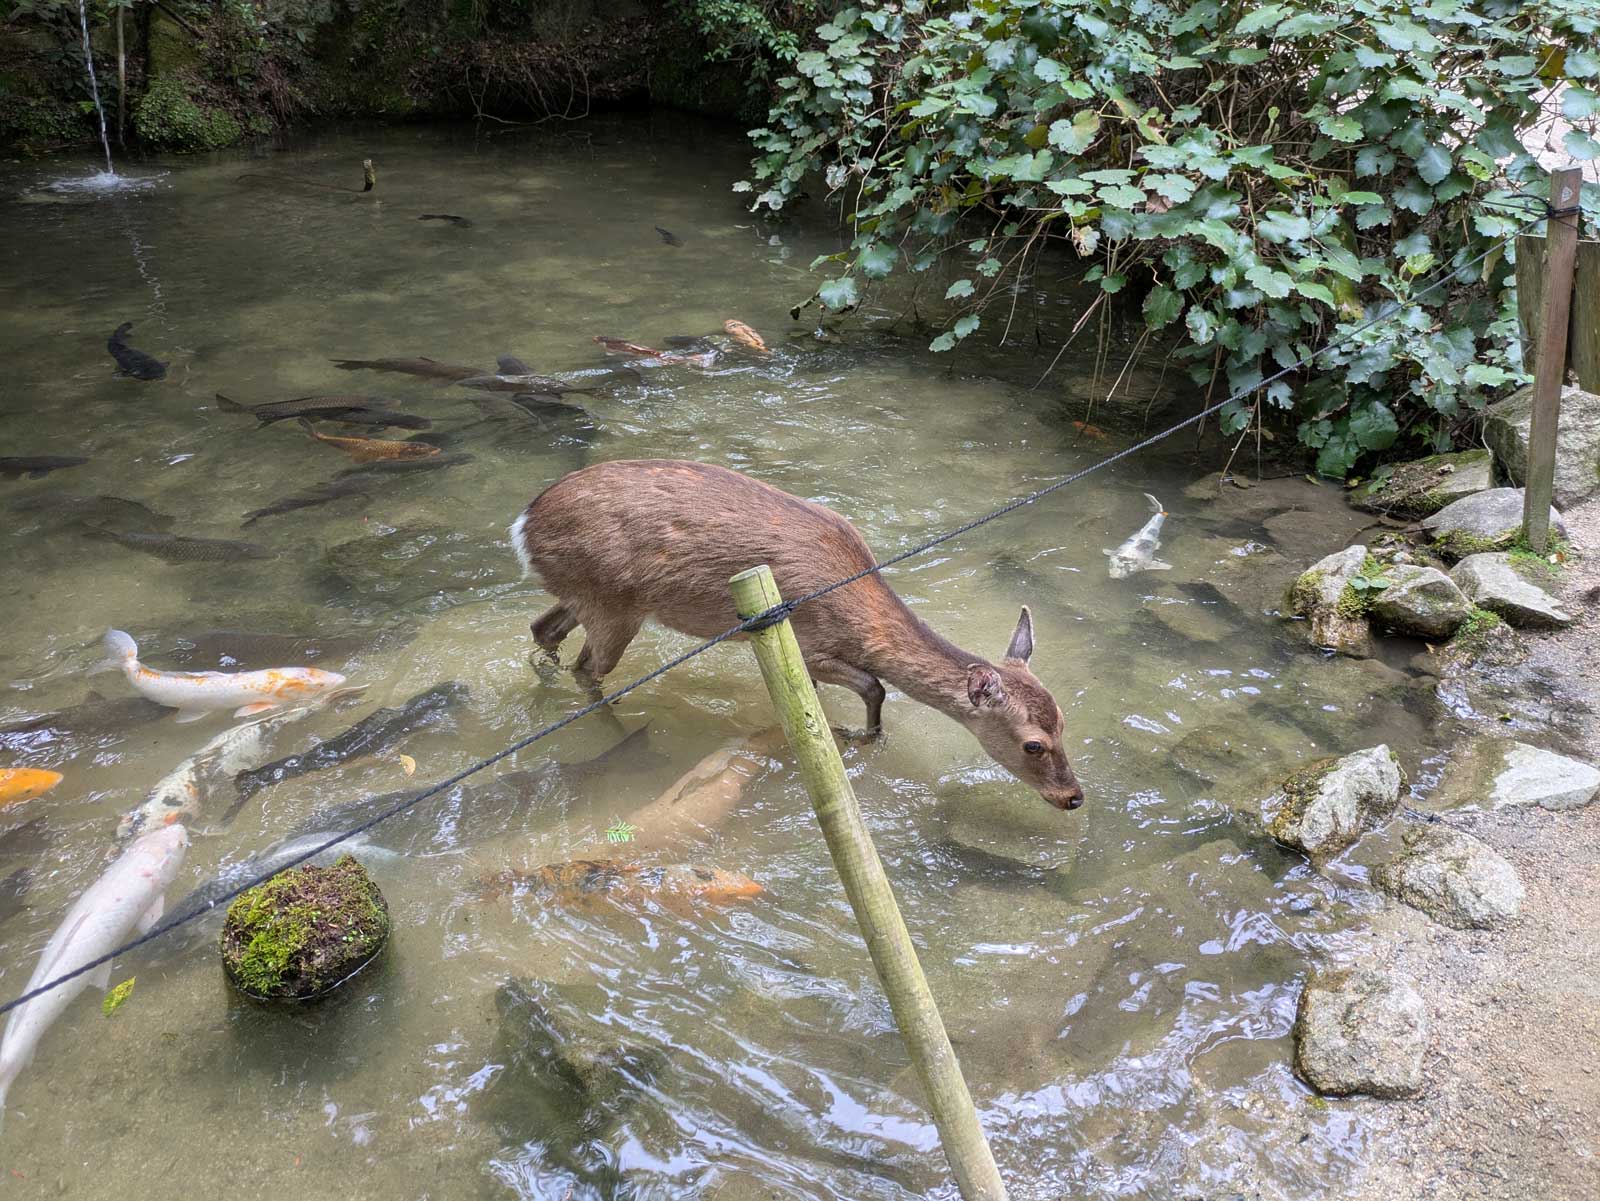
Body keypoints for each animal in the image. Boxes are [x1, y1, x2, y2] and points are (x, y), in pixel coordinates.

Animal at [509, 459, 1084, 810]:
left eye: (1064, 724)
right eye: (1033, 745)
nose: (1074, 796)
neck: (859, 618)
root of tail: (523, 525)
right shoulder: (806, 645)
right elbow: (875, 684)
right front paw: (856, 735)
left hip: (586, 595)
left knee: (544, 629)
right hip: (612, 601)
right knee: (588, 669)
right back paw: (619, 735)